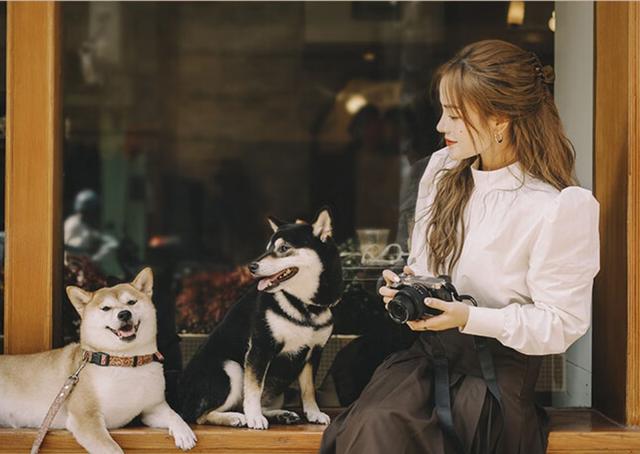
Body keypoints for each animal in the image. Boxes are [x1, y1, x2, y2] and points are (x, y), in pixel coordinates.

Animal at [0, 268, 195, 452]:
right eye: (106, 308)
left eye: (131, 302)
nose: (124, 314)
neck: (123, 362)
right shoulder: (86, 418)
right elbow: (112, 449)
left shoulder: (153, 408)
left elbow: (173, 415)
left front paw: (184, 432)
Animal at [178, 209, 342, 430]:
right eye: (267, 249)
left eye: (283, 248)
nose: (251, 266)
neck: (304, 305)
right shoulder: (261, 347)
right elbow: (254, 389)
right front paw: (254, 417)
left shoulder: (314, 352)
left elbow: (309, 390)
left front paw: (314, 413)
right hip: (231, 369)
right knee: (201, 416)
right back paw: (236, 417)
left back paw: (280, 415)